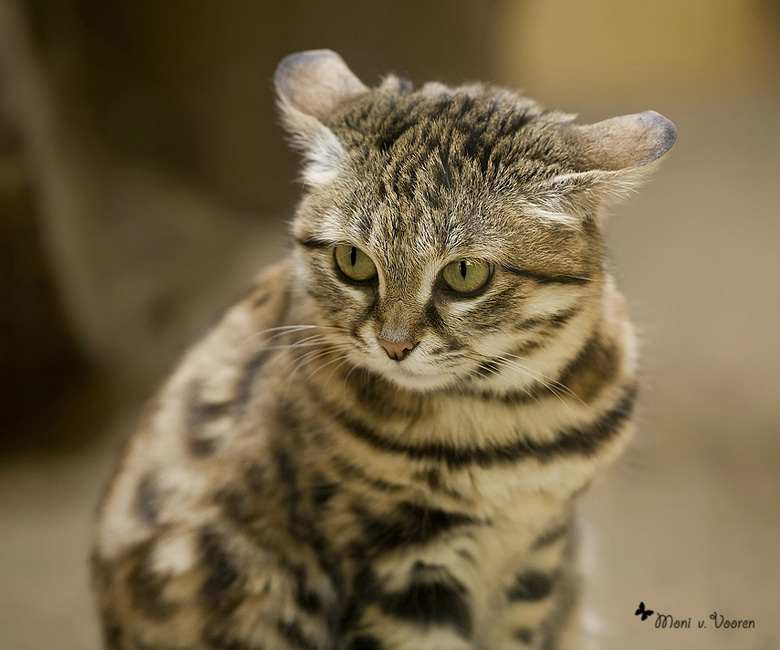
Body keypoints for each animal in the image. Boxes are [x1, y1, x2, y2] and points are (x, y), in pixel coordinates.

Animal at [91, 48, 676, 644]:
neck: (503, 430)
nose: (394, 345)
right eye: (352, 261)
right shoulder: (402, 569)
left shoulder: (541, 556)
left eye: (466, 273)